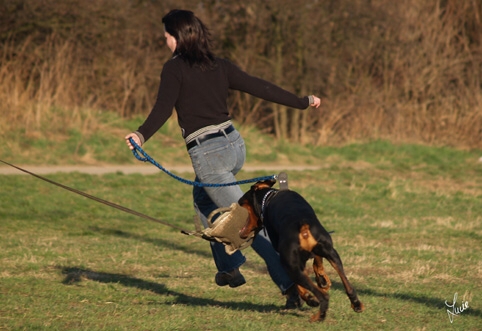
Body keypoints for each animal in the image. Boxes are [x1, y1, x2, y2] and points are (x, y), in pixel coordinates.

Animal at [239, 180, 364, 322]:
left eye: (242, 201)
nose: (237, 203)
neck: (268, 197)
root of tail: (302, 226)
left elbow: (298, 286)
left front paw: (310, 298)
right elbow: (317, 262)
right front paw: (322, 279)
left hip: (291, 266)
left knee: (322, 295)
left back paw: (319, 316)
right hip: (332, 253)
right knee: (348, 285)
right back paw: (356, 304)